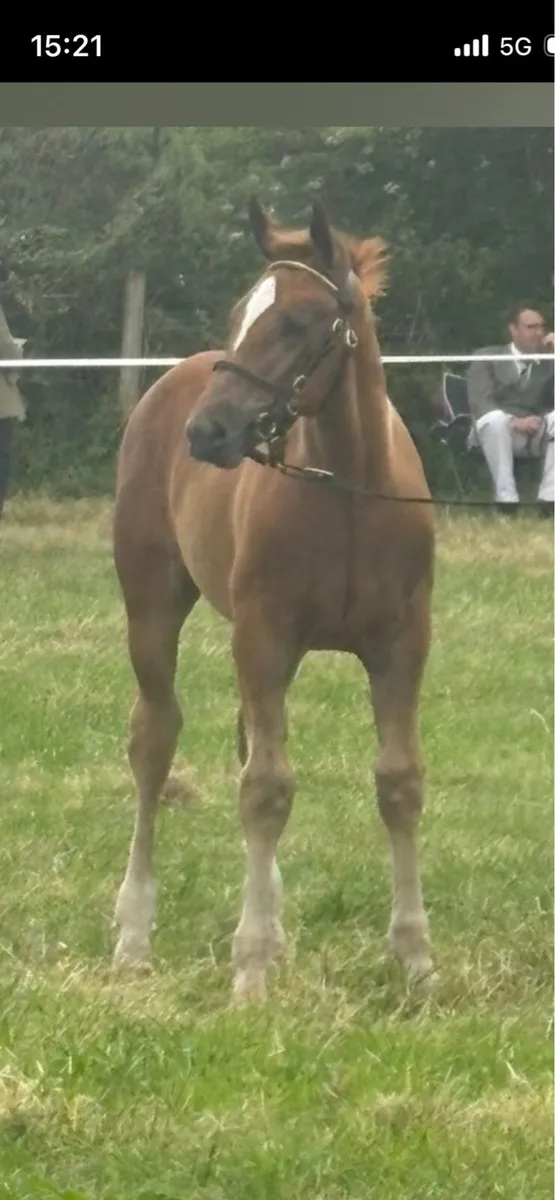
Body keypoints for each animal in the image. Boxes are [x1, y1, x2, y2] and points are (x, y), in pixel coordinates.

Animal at [111, 196, 436, 1004]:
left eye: (293, 322)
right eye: (240, 315)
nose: (207, 431)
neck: (350, 491)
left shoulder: (402, 643)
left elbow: (398, 781)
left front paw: (416, 960)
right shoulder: (264, 638)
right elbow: (264, 788)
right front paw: (250, 968)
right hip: (151, 608)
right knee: (155, 741)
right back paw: (133, 936)